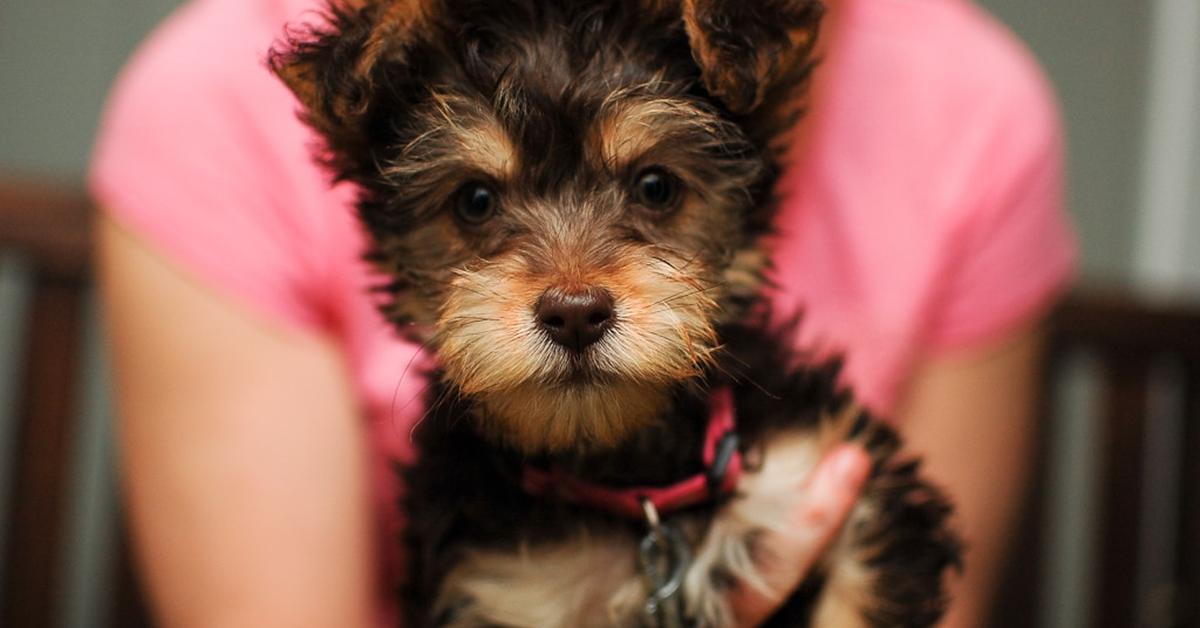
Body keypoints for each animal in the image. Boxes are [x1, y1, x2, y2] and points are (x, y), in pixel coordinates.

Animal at [274, 2, 964, 624]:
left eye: (656, 186)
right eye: (474, 201)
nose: (575, 314)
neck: (632, 482)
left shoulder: (831, 487)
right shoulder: (500, 585)